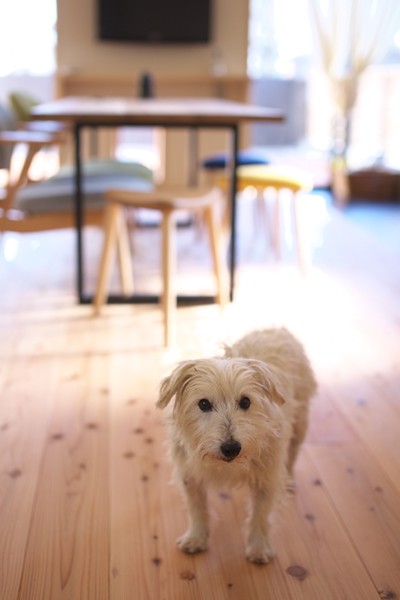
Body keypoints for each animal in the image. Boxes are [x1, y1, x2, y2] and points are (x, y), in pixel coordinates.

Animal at [156, 327, 317, 564]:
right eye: (204, 404)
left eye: (246, 401)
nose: (231, 448)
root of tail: (278, 329)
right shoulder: (189, 476)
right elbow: (197, 508)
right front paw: (196, 537)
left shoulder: (266, 478)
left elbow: (261, 514)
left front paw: (259, 546)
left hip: (301, 423)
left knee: (293, 452)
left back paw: (289, 477)